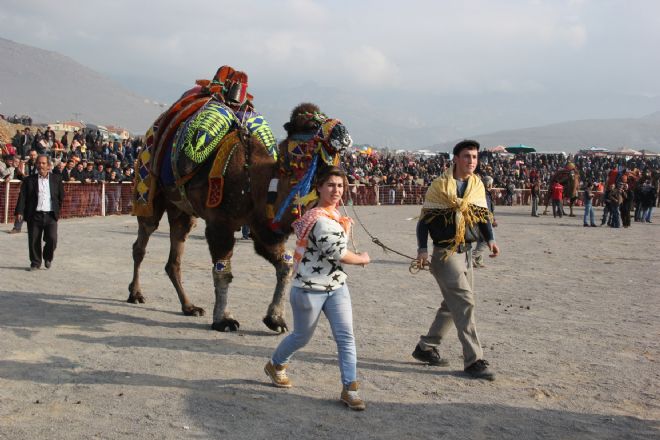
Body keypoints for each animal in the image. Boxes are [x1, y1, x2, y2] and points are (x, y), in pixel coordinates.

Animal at [125, 97, 348, 334]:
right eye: (311, 124)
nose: (342, 132)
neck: (255, 181)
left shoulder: (263, 230)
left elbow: (286, 265)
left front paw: (275, 319)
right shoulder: (220, 223)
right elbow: (223, 271)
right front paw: (224, 319)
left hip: (181, 210)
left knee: (174, 257)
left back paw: (190, 306)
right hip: (148, 190)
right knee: (141, 244)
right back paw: (136, 293)